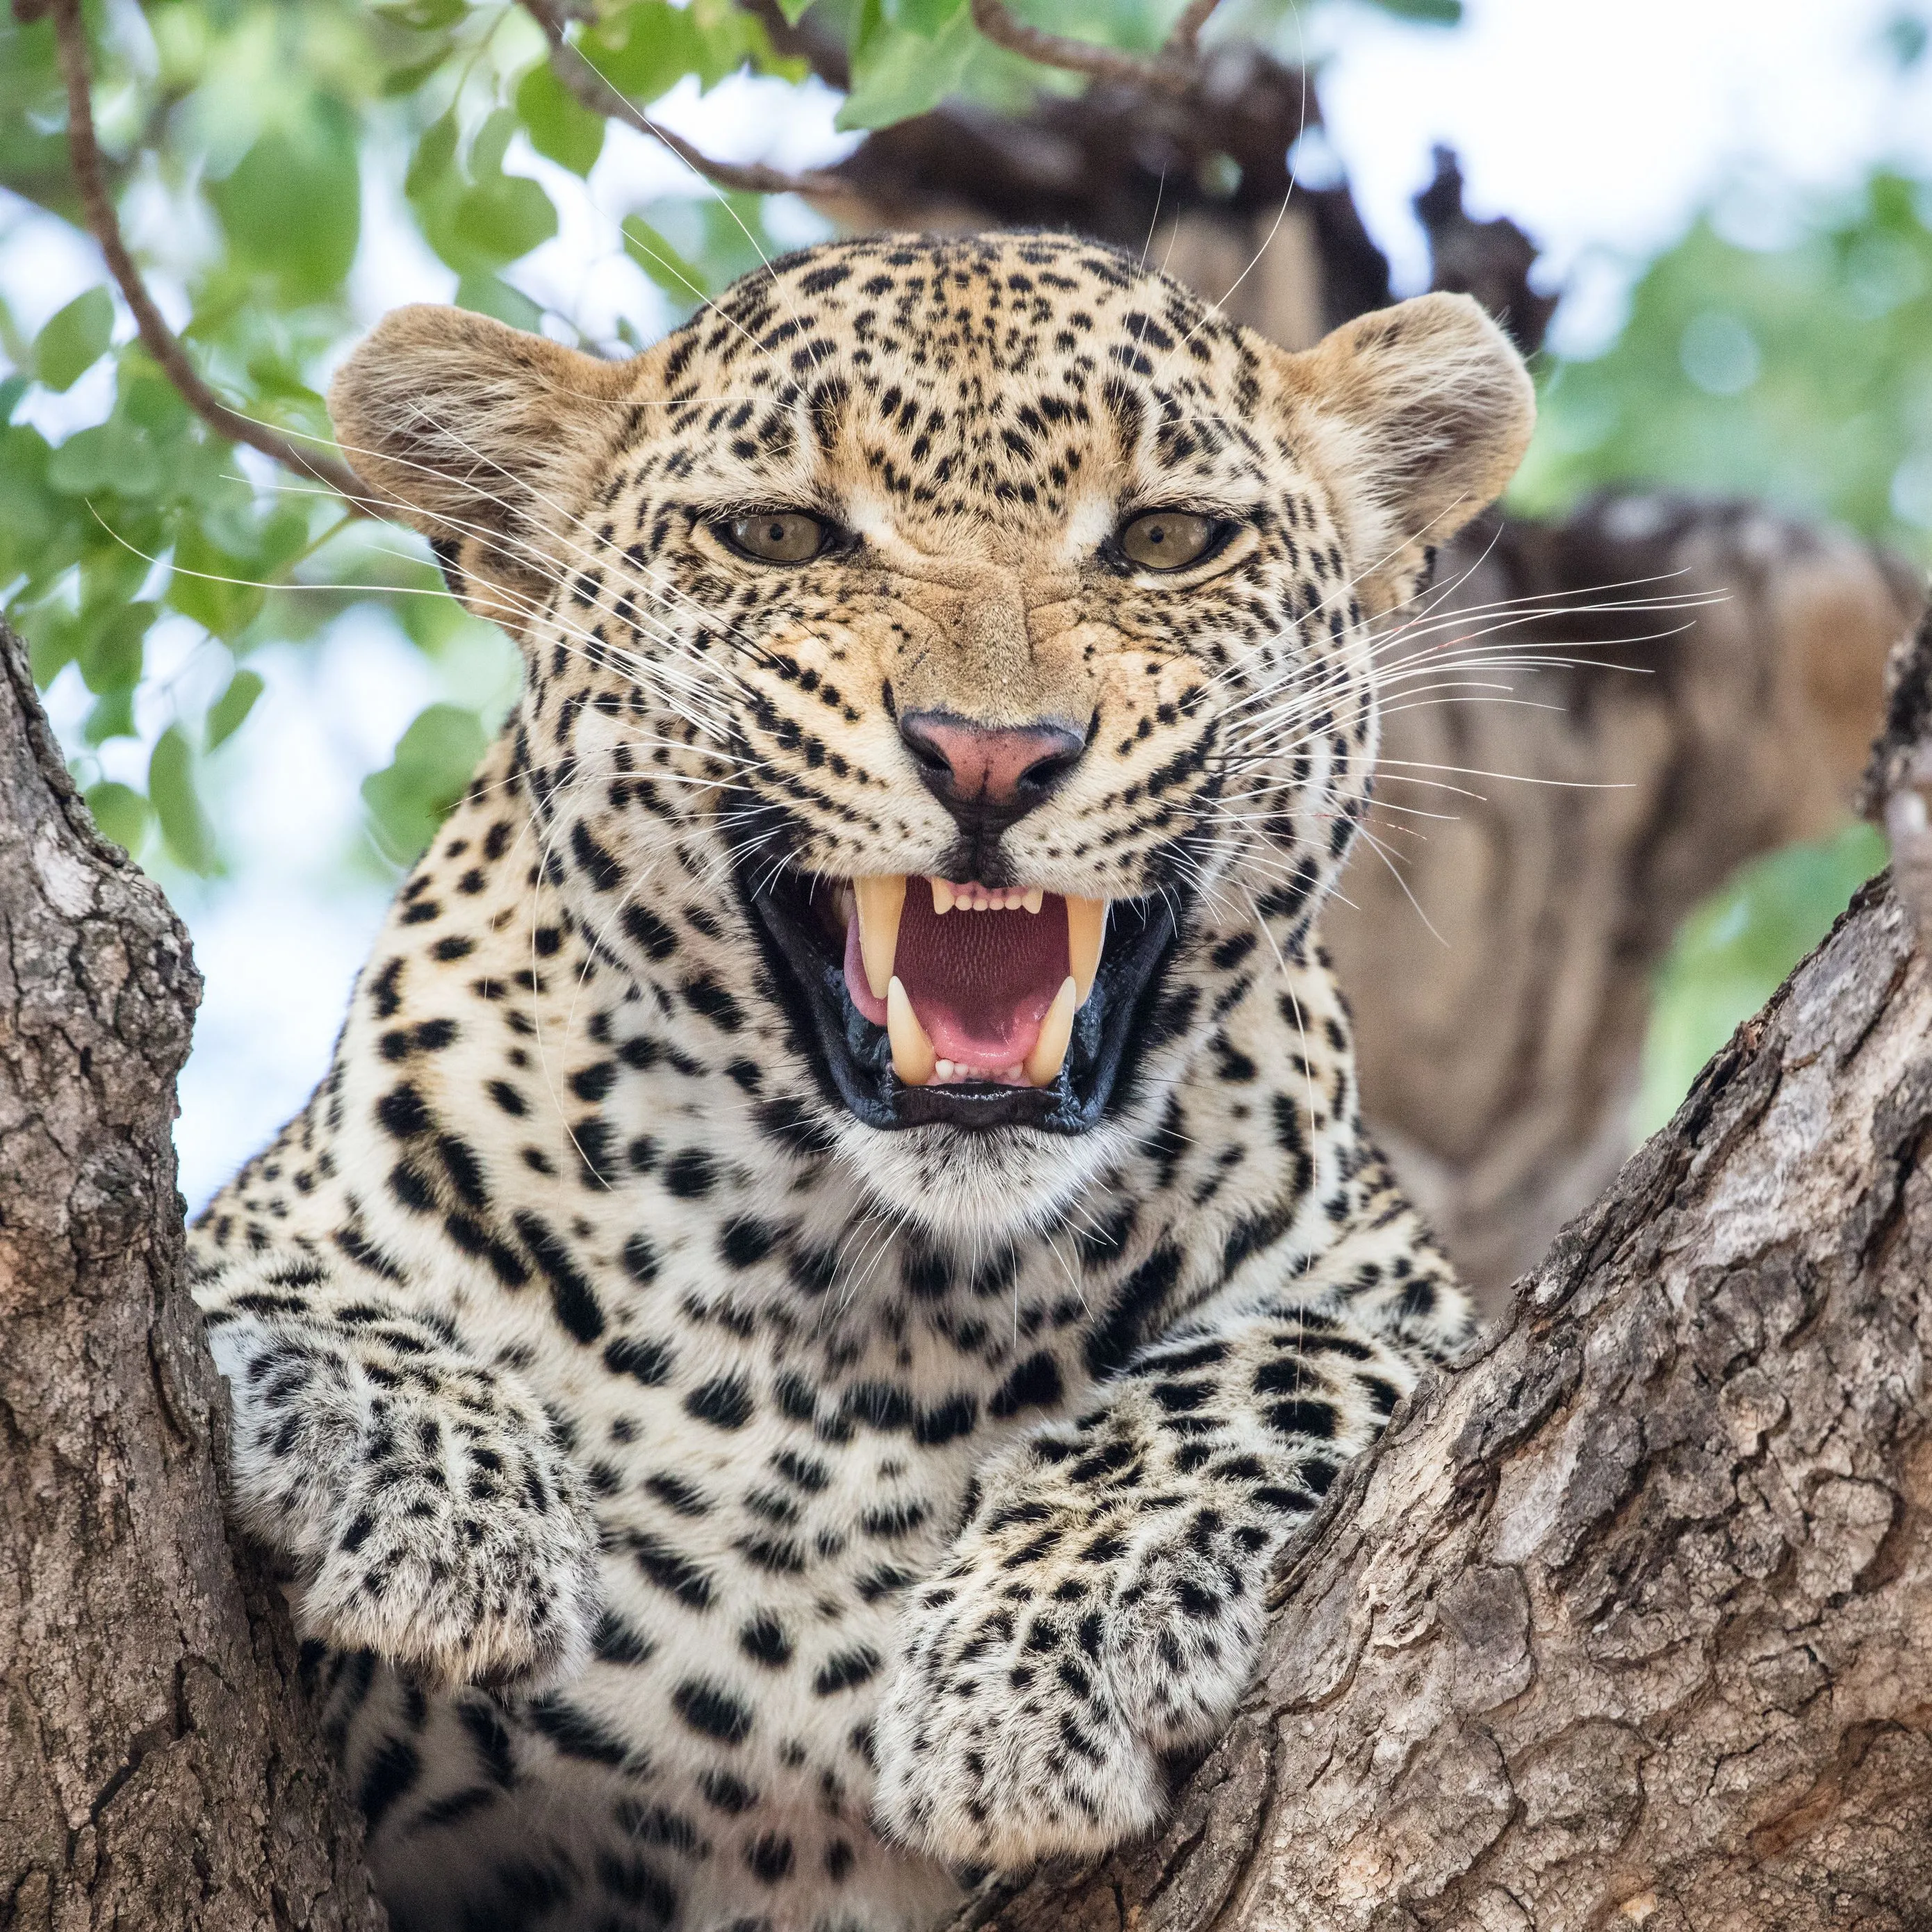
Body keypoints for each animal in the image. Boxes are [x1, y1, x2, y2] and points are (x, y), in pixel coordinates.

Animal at [189, 227, 1534, 1932]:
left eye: (1166, 541)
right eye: (779, 536)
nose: (989, 756)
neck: (879, 1307)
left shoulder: (1404, 1309)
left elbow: (1289, 1358)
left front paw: (1037, 1663)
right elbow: (255, 1283)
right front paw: (429, 1478)